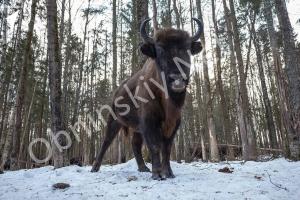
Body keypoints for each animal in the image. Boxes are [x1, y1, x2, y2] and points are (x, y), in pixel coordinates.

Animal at [91, 17, 204, 180]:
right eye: (160, 50)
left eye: (187, 49)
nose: (177, 79)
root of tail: (117, 90)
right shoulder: (149, 121)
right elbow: (155, 146)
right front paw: (157, 174)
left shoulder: (174, 123)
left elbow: (167, 148)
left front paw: (168, 173)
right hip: (114, 120)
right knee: (106, 141)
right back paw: (95, 168)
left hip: (136, 127)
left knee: (135, 144)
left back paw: (143, 168)